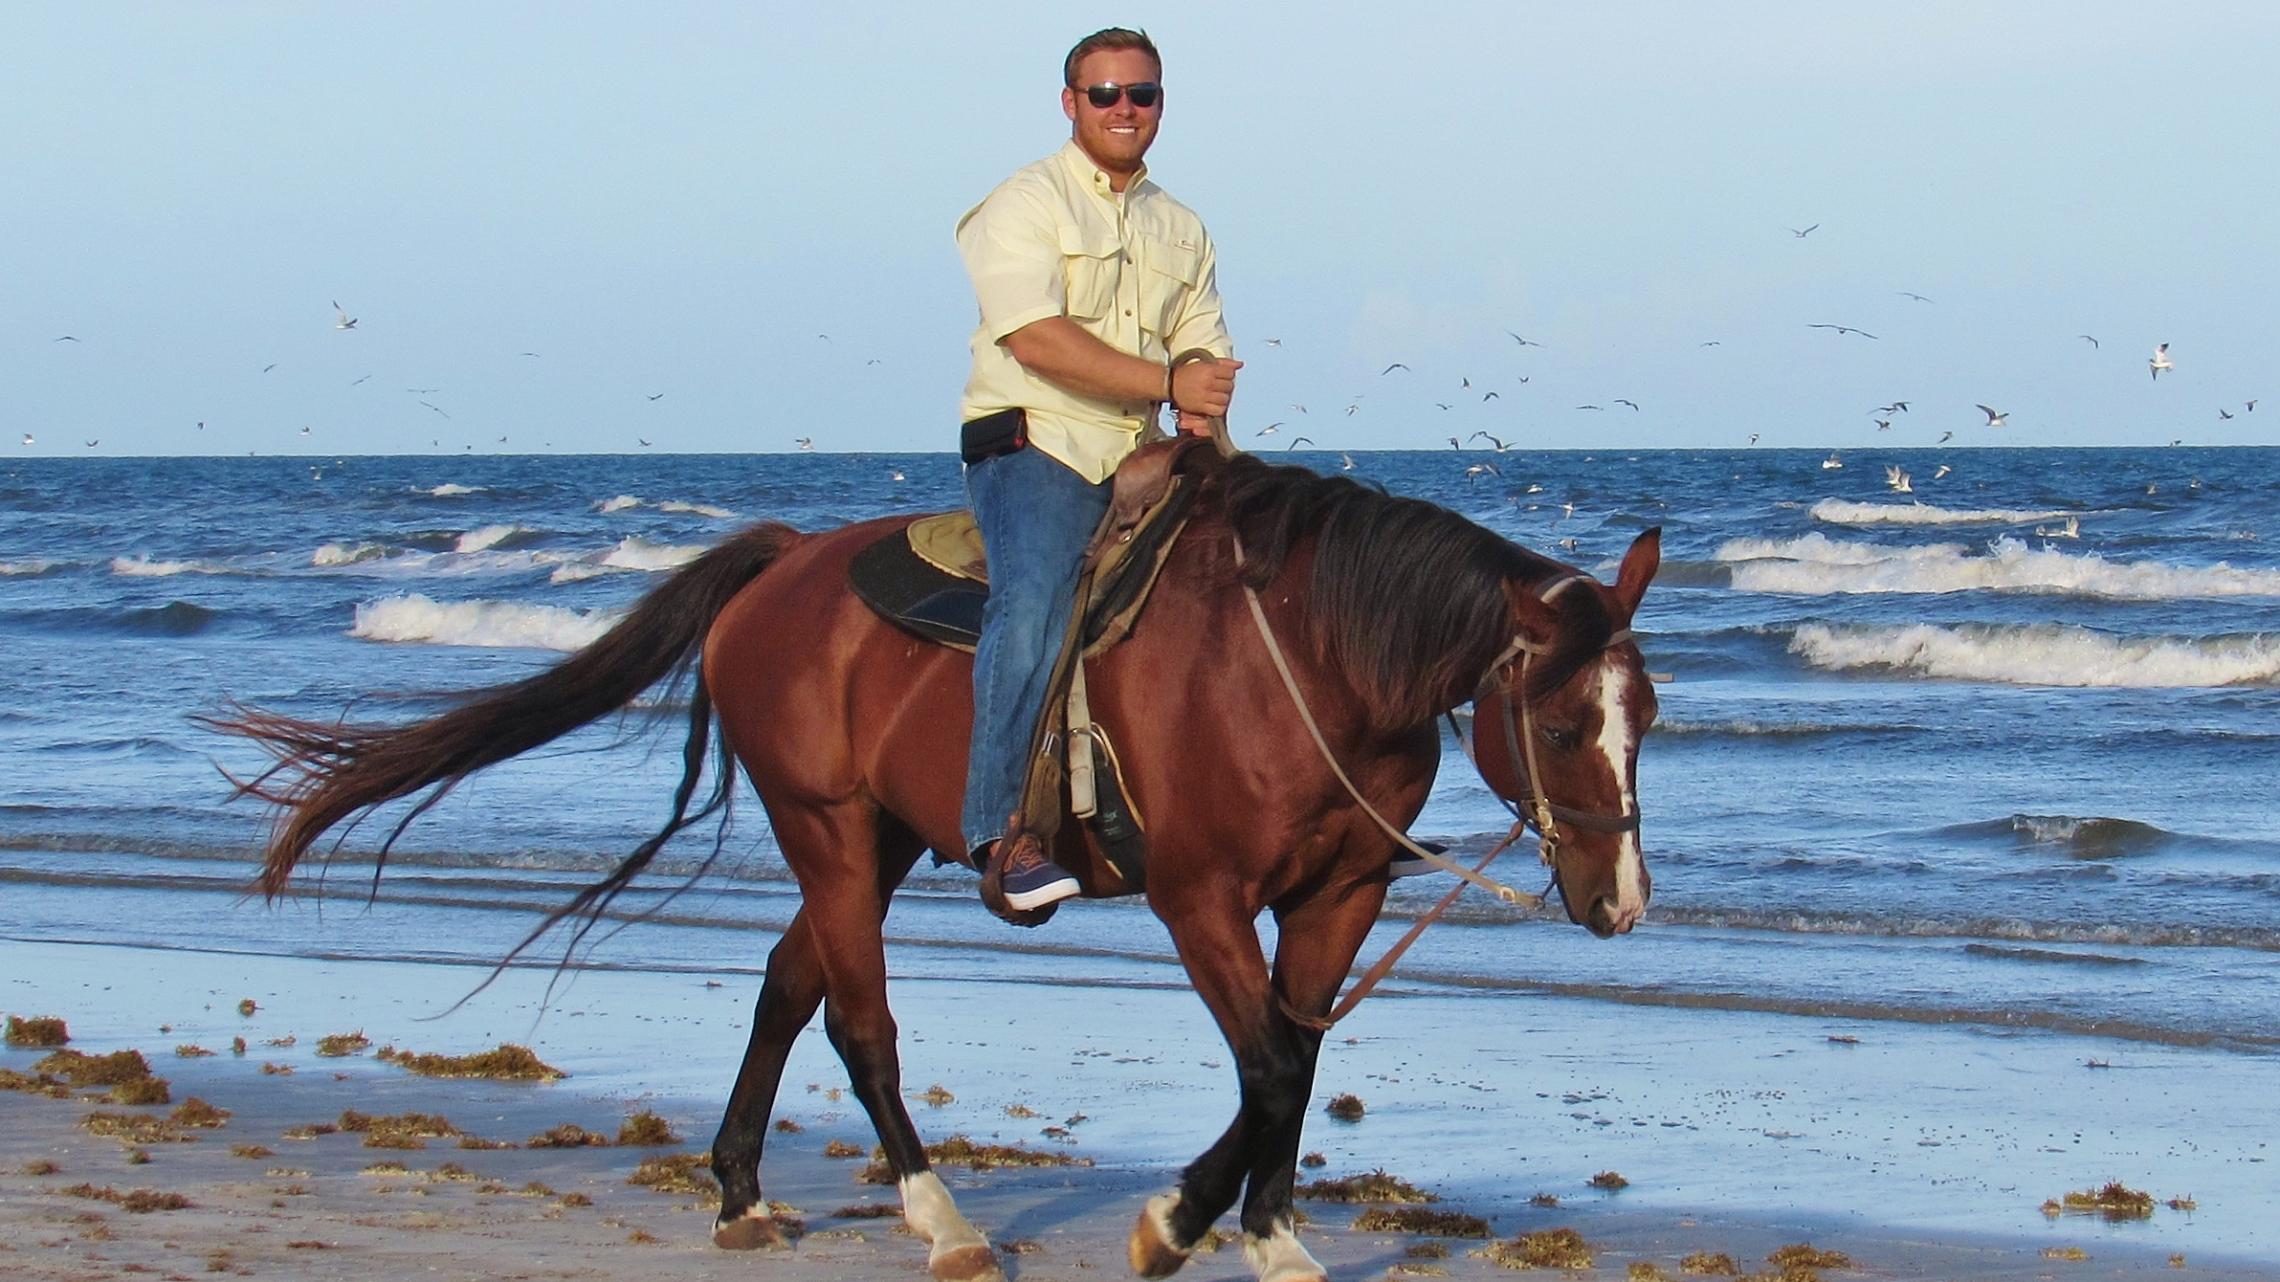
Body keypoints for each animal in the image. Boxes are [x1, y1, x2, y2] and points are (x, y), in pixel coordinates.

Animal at [217, 453, 1661, 1282]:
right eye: (1554, 724)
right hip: (827, 828)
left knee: (786, 980)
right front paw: (1170, 1226)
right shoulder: (1198, 897)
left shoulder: (1336, 898)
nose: (1620, 904)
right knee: (858, 1021)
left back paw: (742, 1192)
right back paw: (942, 1221)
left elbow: (1297, 1064)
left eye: (1646, 713)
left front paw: (1271, 1235)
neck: (1308, 660)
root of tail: (781, 566)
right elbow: (1263, 1068)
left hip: (882, 834)